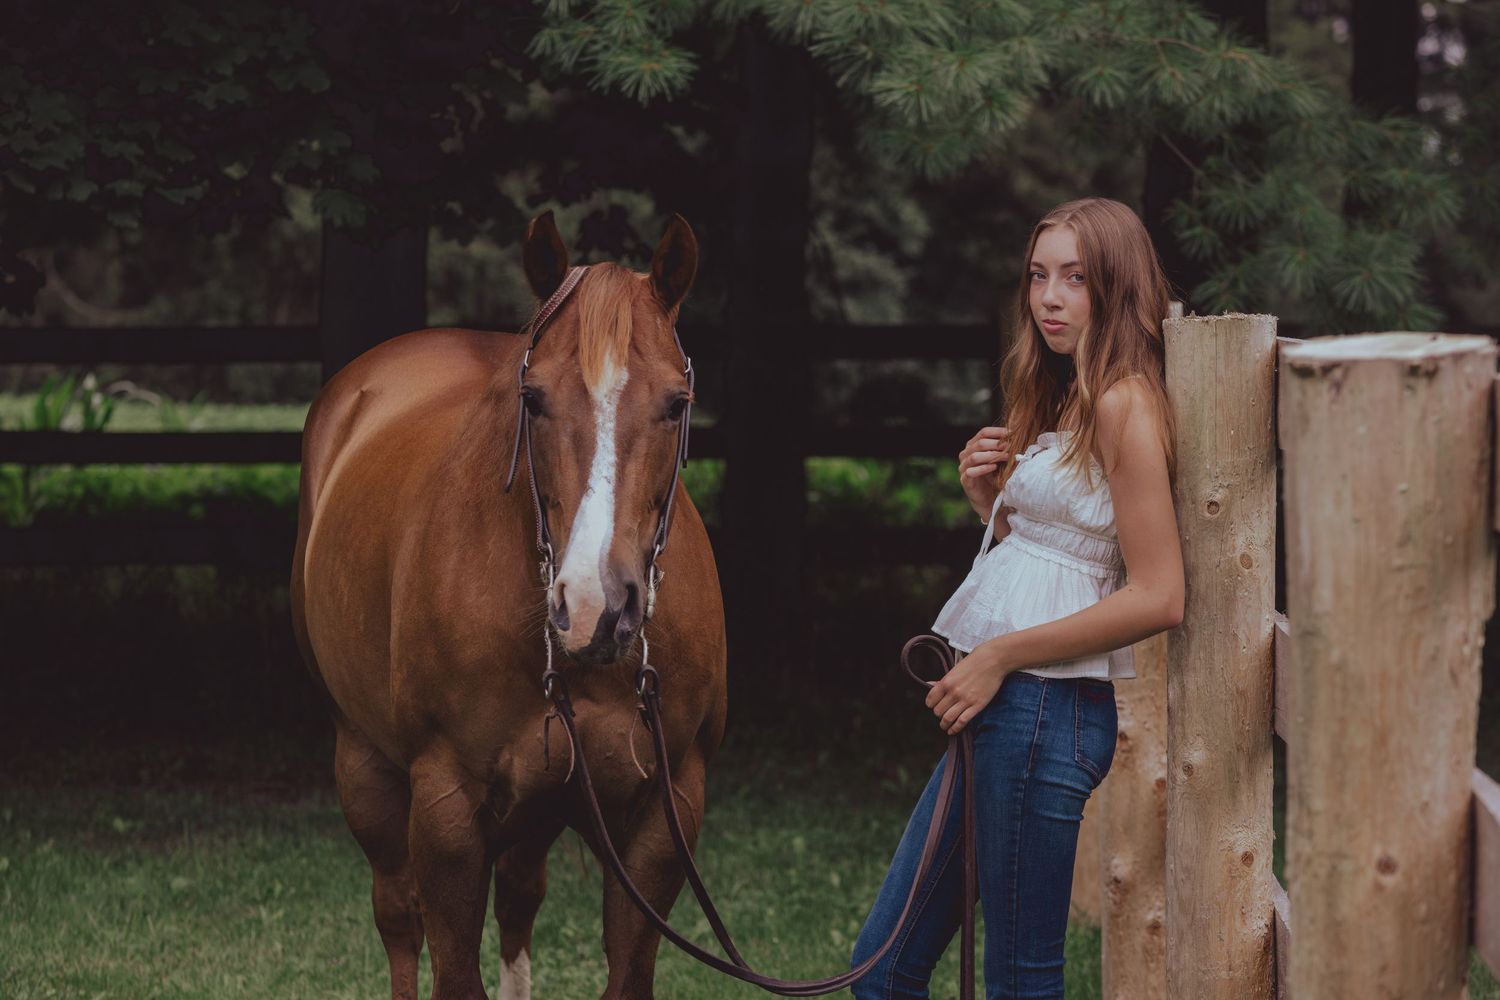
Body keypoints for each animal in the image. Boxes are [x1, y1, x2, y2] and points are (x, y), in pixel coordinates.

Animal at [290, 211, 728, 1000]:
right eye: (535, 400)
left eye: (676, 403)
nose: (594, 606)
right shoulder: (445, 814)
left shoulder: (664, 813)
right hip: (365, 770)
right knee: (397, 920)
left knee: (520, 900)